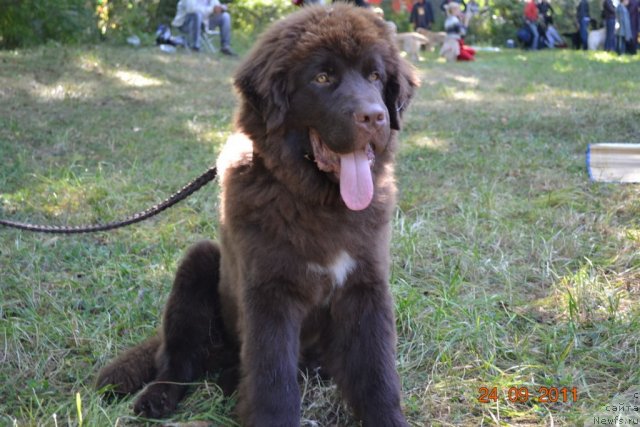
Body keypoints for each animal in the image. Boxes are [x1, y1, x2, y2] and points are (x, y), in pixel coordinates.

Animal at [94, 4, 416, 427]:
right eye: (322, 77)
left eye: (375, 76)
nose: (374, 117)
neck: (318, 202)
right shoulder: (269, 292)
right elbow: (273, 378)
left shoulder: (366, 285)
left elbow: (377, 373)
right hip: (198, 267)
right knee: (178, 359)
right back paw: (161, 396)